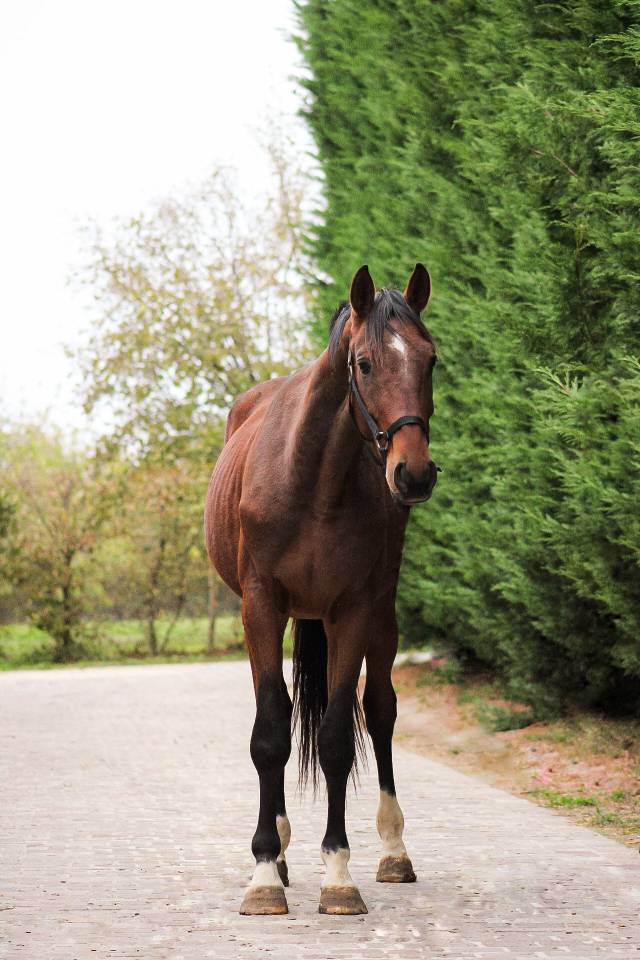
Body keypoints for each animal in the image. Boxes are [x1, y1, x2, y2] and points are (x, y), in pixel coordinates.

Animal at [204, 263, 438, 916]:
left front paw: (339, 874)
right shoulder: (261, 609)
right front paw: (264, 872)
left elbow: (337, 735)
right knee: (283, 718)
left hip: (379, 616)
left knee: (379, 711)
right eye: (364, 363)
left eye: (430, 360)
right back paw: (281, 853)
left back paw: (393, 850)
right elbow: (269, 731)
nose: (413, 474)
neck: (312, 478)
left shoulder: (352, 611)